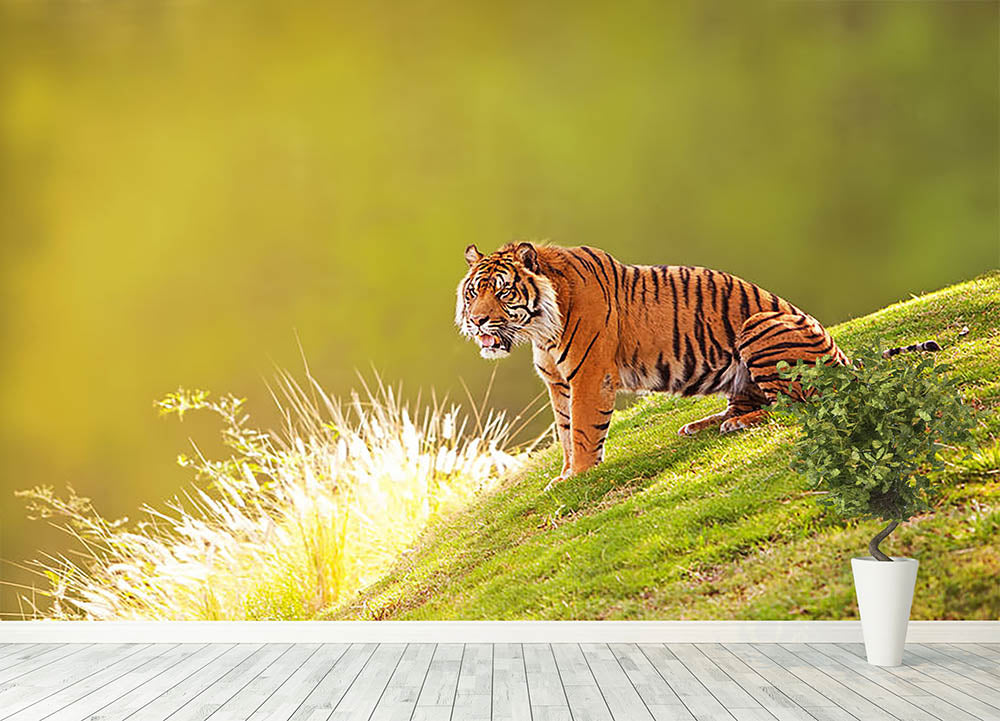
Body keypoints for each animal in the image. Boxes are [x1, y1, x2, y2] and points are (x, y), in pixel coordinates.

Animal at [456, 242, 937, 486]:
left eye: (503, 291)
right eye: (473, 292)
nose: (476, 320)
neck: (539, 328)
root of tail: (842, 355)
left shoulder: (589, 374)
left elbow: (584, 430)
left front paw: (577, 477)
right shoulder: (557, 382)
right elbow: (565, 430)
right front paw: (565, 473)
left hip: (760, 326)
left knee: (795, 405)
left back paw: (735, 425)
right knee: (754, 402)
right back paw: (704, 424)